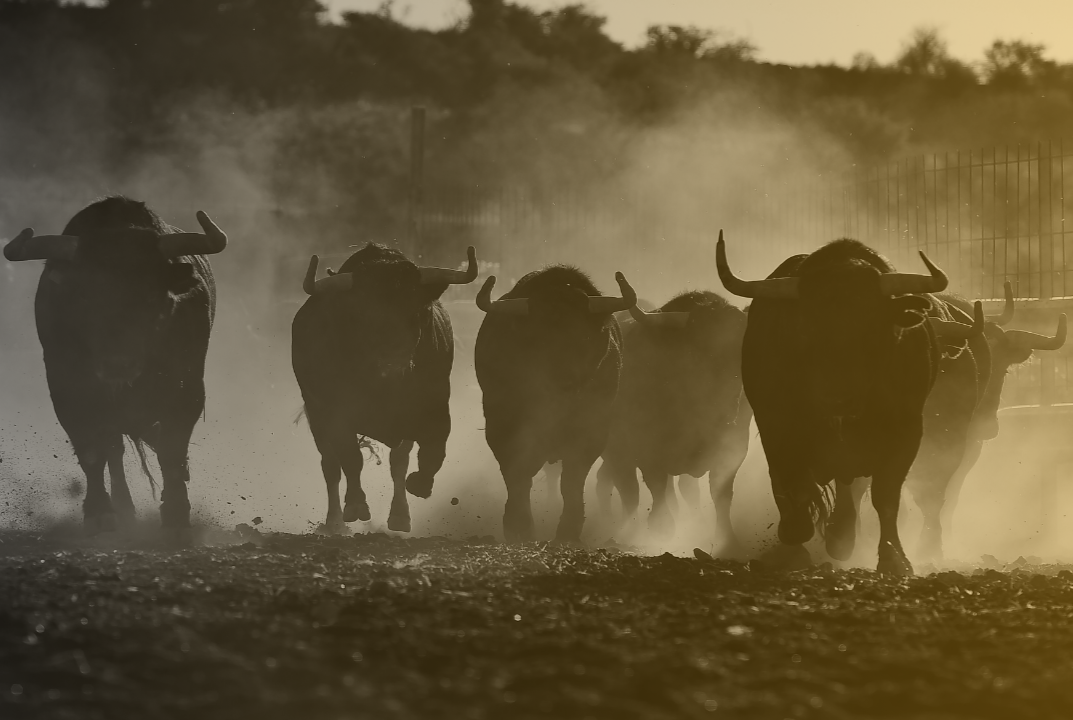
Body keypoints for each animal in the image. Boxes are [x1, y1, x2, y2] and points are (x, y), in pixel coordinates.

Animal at [3, 196, 227, 534]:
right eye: (85, 297)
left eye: (151, 296)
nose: (117, 365)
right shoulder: (68, 390)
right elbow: (92, 451)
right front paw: (100, 512)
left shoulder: (187, 390)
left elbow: (171, 448)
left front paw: (176, 510)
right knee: (113, 450)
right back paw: (123, 507)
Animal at [291, 243, 478, 534]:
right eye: (361, 313)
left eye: (419, 310)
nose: (393, 361)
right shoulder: (335, 414)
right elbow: (351, 458)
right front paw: (356, 505)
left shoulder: (435, 408)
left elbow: (434, 451)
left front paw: (419, 485)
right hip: (316, 416)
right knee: (331, 465)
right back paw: (334, 522)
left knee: (397, 463)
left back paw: (399, 515)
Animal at [474, 266, 636, 542]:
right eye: (536, 337)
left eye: (584, 337)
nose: (564, 382)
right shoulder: (502, 427)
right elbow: (517, 475)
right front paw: (518, 526)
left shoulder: (591, 433)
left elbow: (571, 482)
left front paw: (568, 530)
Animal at [595, 291, 752, 553]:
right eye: (701, 349)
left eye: (742, 347)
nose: (730, 403)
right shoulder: (647, 450)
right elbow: (656, 489)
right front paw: (661, 530)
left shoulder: (734, 447)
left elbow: (720, 494)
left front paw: (728, 541)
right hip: (616, 453)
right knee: (628, 491)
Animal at [717, 233, 982, 575]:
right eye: (806, 327)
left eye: (872, 326)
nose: (837, 397)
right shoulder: (776, 426)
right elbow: (793, 486)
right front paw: (794, 535)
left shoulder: (907, 433)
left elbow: (886, 497)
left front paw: (893, 558)